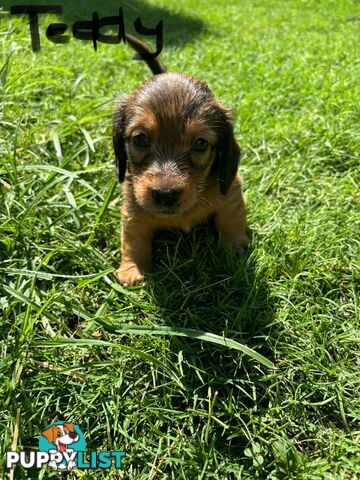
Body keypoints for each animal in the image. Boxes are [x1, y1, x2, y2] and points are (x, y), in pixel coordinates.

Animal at [114, 37, 249, 286]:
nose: (165, 195)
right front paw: (131, 269)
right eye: (140, 139)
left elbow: (230, 220)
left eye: (200, 144)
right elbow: (133, 241)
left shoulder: (231, 192)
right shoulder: (132, 209)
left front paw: (235, 249)